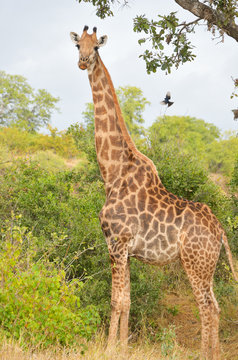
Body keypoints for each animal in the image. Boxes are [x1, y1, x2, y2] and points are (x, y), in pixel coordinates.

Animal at [69, 26, 237, 360]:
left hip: (195, 263)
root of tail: (221, 232)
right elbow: (128, 300)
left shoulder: (116, 243)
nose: (83, 62)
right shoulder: (125, 250)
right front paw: (122, 346)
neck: (112, 172)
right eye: (77, 45)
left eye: (96, 48)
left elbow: (116, 300)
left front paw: (109, 348)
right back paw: (212, 353)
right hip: (208, 267)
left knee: (207, 307)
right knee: (216, 305)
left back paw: (204, 354)